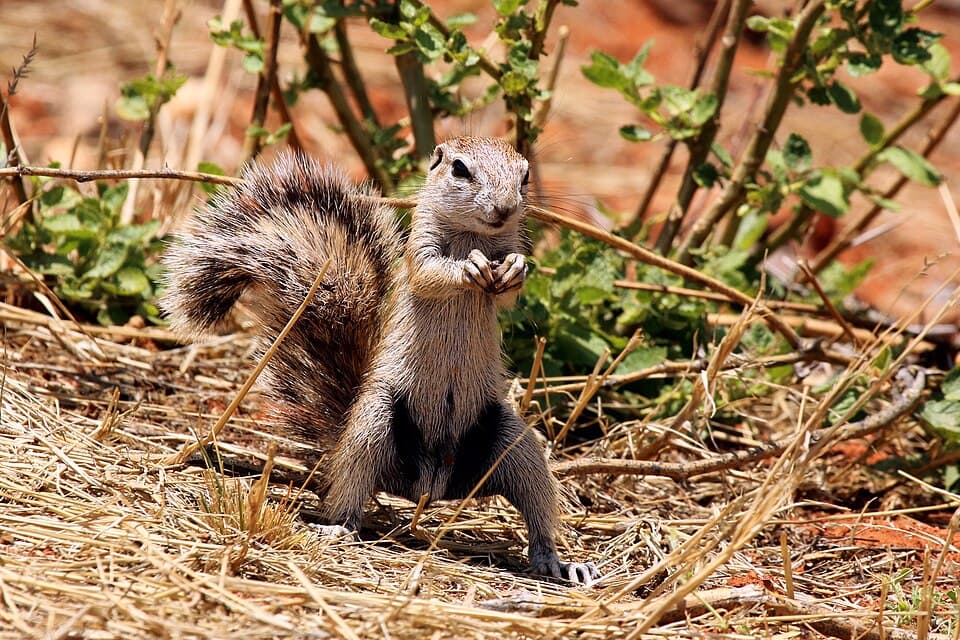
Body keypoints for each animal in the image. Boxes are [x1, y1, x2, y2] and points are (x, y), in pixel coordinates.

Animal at [161, 136, 599, 585]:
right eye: (459, 169)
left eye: (524, 175)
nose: (505, 208)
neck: (471, 235)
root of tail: (429, 485)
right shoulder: (420, 251)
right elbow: (432, 273)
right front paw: (468, 267)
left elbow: (509, 295)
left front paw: (515, 269)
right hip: (374, 426)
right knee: (350, 492)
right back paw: (338, 526)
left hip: (514, 442)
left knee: (536, 508)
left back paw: (557, 562)